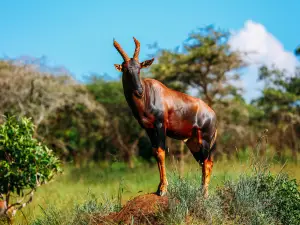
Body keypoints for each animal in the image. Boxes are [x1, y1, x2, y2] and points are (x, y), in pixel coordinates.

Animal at [113, 37, 217, 197]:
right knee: (204, 162)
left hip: (205, 140)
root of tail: (212, 114)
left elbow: (161, 152)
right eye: (125, 69)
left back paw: (204, 193)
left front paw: (163, 189)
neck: (148, 94)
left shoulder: (160, 126)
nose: (139, 91)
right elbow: (155, 152)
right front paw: (159, 187)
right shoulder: (148, 129)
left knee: (207, 162)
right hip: (192, 143)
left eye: (139, 68)